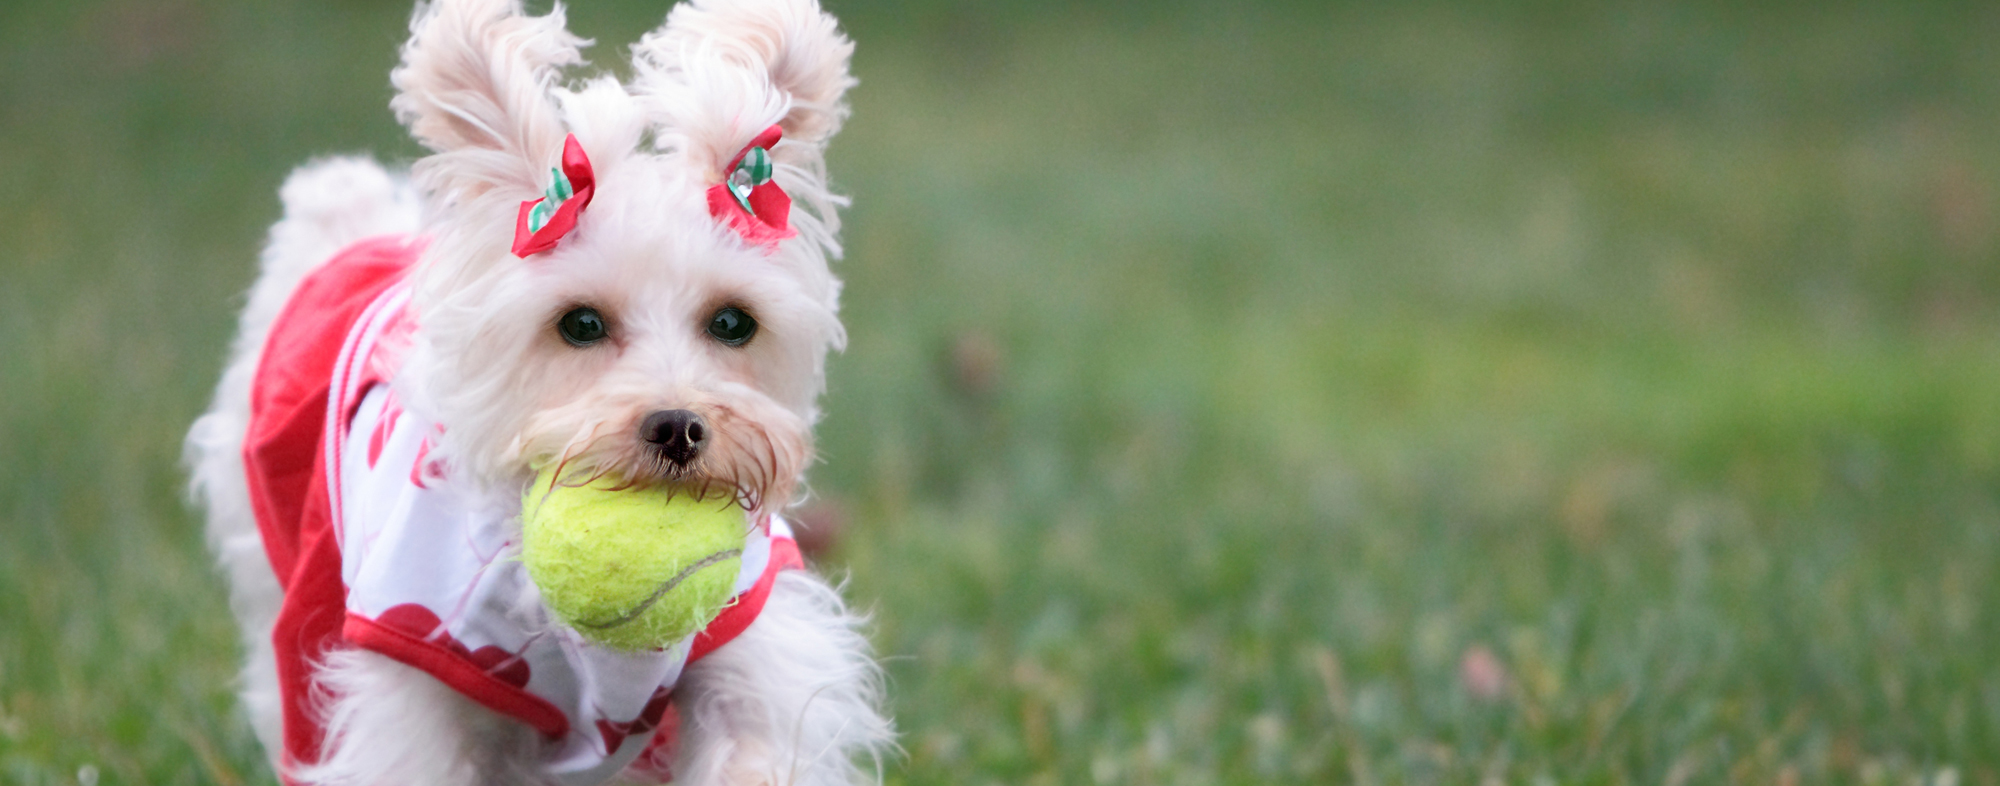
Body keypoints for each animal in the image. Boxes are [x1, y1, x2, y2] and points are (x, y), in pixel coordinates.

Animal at [186, 0, 892, 780]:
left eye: (733, 321)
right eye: (579, 323)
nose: (678, 427)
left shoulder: (749, 658)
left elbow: (752, 742)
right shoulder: (416, 666)